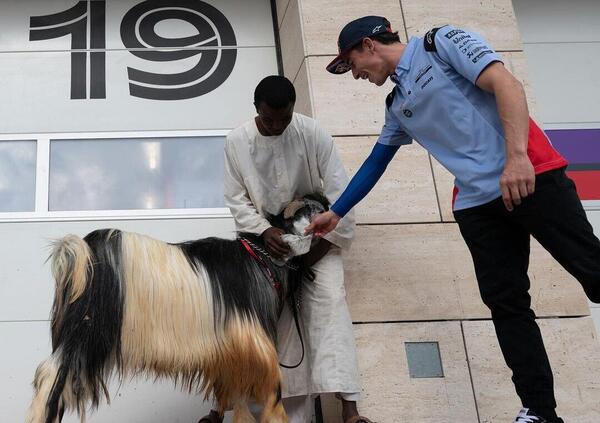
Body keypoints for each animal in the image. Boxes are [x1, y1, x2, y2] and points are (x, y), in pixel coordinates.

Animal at [27, 194, 328, 422]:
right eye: (307, 208)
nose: (326, 209)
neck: (260, 259)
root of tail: (82, 250)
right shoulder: (256, 342)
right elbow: (271, 392)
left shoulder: (233, 353)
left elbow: (239, 399)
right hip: (86, 333)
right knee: (51, 378)